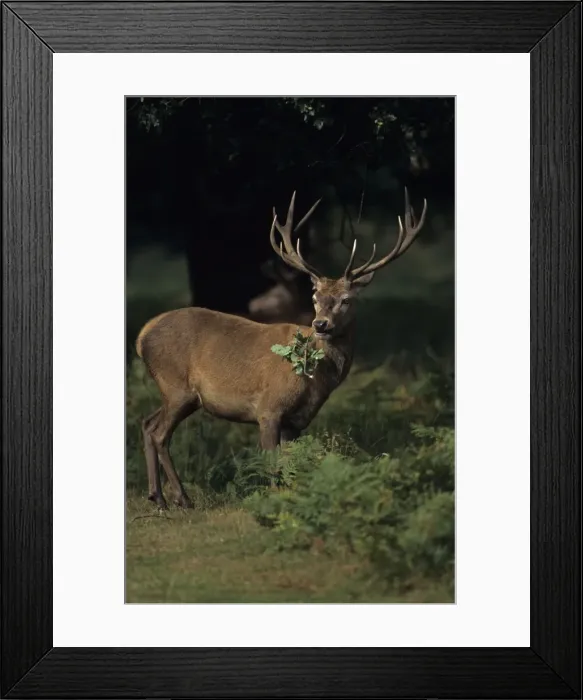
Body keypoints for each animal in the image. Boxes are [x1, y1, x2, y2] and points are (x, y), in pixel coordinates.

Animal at [136, 189, 427, 509]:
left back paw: (157, 497)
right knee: (160, 433)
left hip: (179, 394)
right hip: (177, 386)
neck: (314, 378)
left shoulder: (296, 422)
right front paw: (272, 504)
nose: (321, 323)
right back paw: (181, 499)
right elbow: (272, 465)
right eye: (315, 296)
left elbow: (291, 467)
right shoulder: (268, 408)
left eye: (346, 299)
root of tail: (142, 335)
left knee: (147, 424)